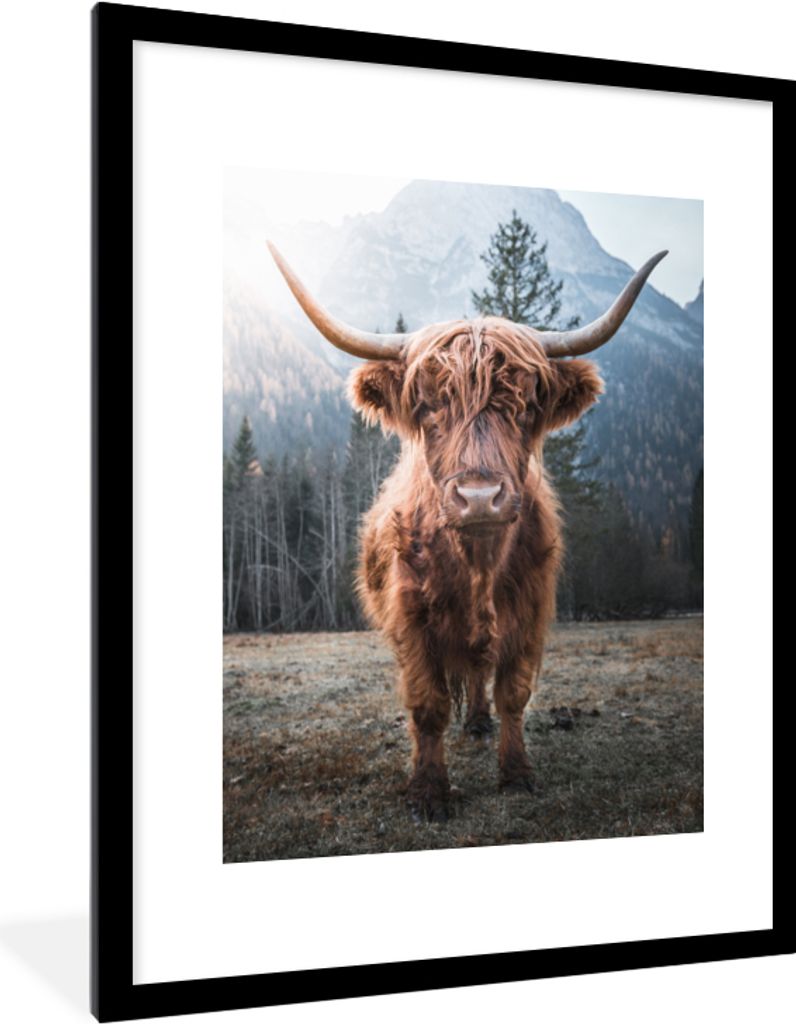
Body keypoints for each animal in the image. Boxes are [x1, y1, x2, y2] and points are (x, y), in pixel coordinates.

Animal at [268, 240, 666, 822]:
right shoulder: (411, 621)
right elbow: (428, 705)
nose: (479, 497)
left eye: (525, 404)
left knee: (480, 673)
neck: (477, 562)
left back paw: (478, 722)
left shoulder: (530, 612)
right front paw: (429, 791)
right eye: (429, 405)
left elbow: (513, 694)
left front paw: (516, 773)